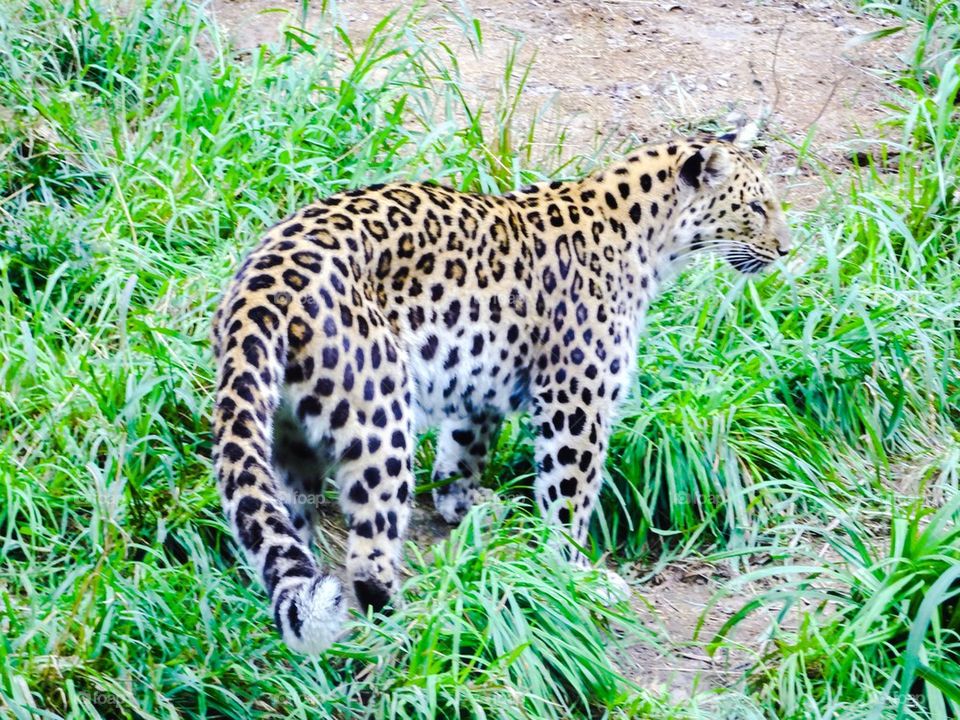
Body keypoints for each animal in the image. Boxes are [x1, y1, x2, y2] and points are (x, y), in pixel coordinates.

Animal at [211, 131, 792, 654]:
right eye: (756, 206)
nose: (786, 249)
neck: (651, 240)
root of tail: (259, 288)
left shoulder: (479, 378)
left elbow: (464, 449)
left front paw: (465, 505)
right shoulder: (575, 395)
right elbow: (570, 493)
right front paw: (576, 574)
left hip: (285, 434)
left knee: (283, 529)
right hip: (381, 418)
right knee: (368, 557)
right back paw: (415, 627)